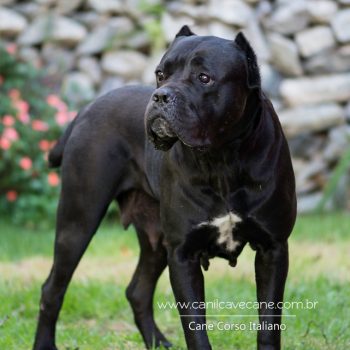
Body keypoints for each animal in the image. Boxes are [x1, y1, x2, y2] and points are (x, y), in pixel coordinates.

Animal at [32, 26, 296, 350]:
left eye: (204, 77)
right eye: (160, 74)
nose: (160, 95)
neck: (222, 160)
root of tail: (86, 109)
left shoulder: (273, 248)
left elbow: (269, 322)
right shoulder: (182, 253)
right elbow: (195, 327)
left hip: (155, 239)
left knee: (137, 290)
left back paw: (157, 343)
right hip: (78, 221)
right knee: (52, 288)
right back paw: (44, 343)